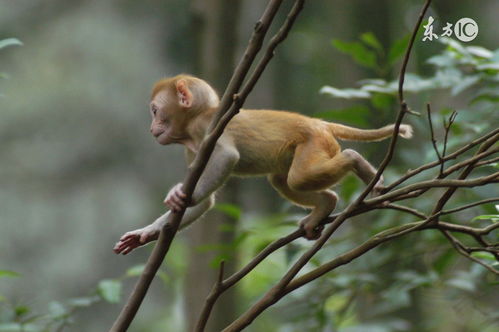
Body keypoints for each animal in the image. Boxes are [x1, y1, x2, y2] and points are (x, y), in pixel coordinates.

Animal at [114, 73, 414, 254]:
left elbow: (227, 157)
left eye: (155, 111)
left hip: (315, 143)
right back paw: (325, 205)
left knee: (300, 177)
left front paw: (183, 196)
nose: (152, 128)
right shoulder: (192, 150)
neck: (194, 125)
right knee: (282, 180)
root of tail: (320, 123)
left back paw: (356, 162)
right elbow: (207, 202)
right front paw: (147, 233)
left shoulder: (207, 129)